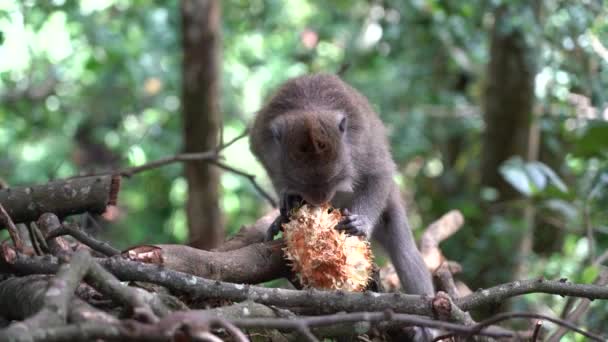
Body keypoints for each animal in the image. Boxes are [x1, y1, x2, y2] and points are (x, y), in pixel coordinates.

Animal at [249, 74, 434, 296]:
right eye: (301, 182)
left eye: (334, 179)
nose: (320, 199)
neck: (309, 107)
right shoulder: (263, 143)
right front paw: (288, 200)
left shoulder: (360, 144)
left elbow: (380, 172)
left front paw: (361, 222)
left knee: (405, 251)